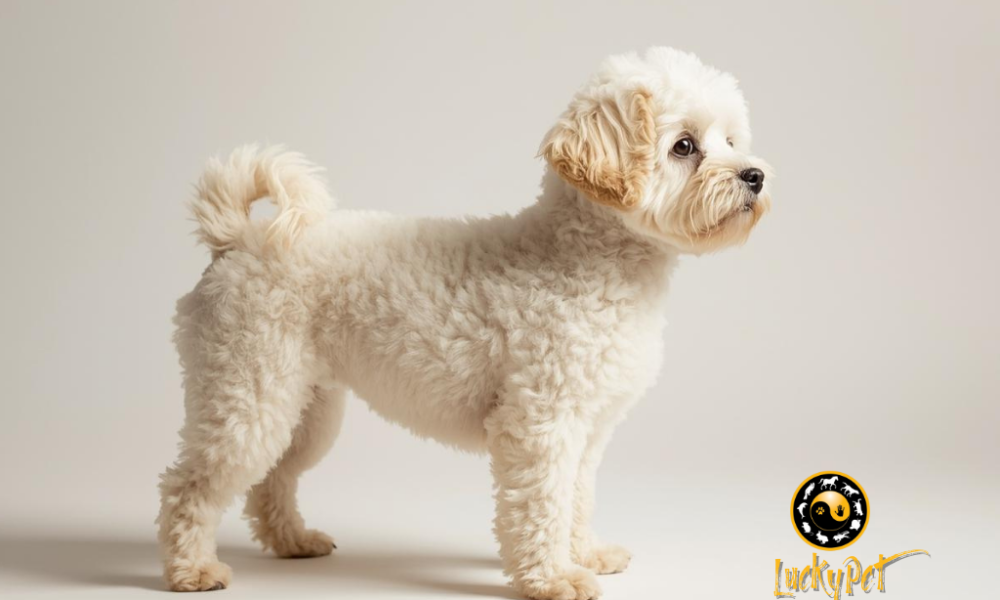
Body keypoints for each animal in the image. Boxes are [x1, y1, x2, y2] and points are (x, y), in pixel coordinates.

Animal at [156, 47, 772, 600]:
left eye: (730, 140)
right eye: (684, 146)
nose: (755, 175)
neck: (588, 261)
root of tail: (237, 238)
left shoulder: (589, 431)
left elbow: (576, 499)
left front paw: (586, 554)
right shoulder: (541, 424)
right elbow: (544, 503)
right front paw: (553, 578)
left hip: (305, 411)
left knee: (273, 480)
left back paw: (293, 541)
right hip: (246, 397)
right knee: (189, 487)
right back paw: (192, 571)